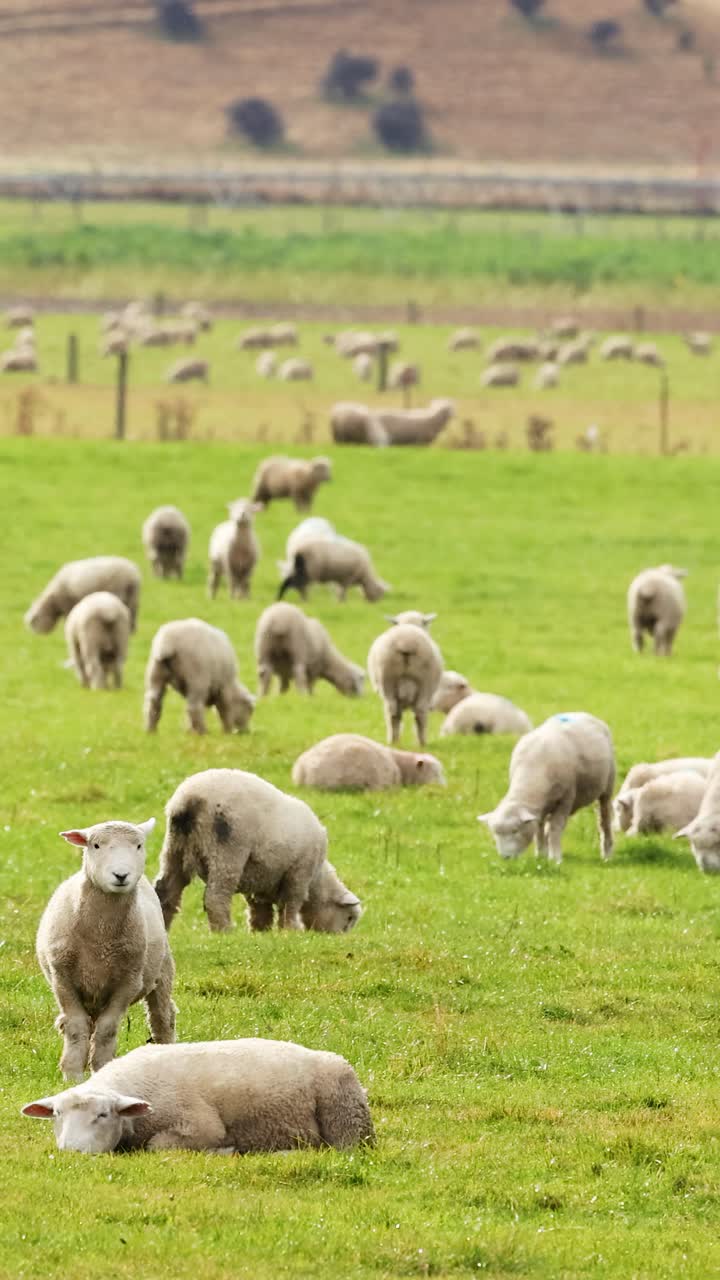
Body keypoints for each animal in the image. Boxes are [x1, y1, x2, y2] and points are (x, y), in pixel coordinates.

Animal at [22, 1038, 374, 1154]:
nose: (71, 1151)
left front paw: (224, 1151)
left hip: (346, 1123)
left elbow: (157, 1147)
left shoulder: (201, 1126)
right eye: (57, 1115)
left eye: (103, 1114)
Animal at [36, 818, 176, 1080]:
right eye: (96, 845)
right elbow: (76, 1027)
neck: (100, 938)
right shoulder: (63, 980)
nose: (121, 875)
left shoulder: (127, 983)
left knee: (163, 1017)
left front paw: (101, 1068)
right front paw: (72, 1075)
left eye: (139, 845)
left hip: (161, 970)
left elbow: (107, 1030)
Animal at [154, 768, 362, 933]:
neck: (317, 880)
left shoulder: (259, 878)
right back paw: (225, 931)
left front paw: (260, 932)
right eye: (349, 918)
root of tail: (186, 802)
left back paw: (164, 927)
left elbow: (259, 909)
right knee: (215, 897)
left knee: (166, 891)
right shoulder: (298, 873)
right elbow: (290, 904)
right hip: (227, 850)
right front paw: (290, 931)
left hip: (174, 847)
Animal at [478, 711, 615, 864]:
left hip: (607, 787)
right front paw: (541, 855)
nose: (505, 857)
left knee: (604, 819)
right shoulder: (539, 808)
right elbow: (539, 829)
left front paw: (555, 858)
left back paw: (607, 853)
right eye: (495, 833)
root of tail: (581, 713)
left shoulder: (565, 800)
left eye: (515, 830)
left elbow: (556, 828)